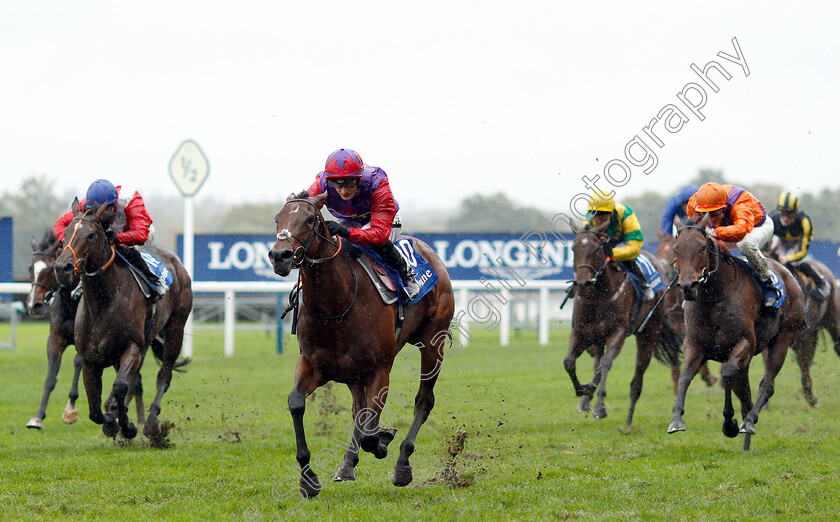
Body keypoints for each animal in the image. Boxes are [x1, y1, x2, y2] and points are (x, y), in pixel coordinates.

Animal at [54, 200, 194, 438]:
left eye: (90, 235)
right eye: (65, 234)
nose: (62, 268)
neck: (103, 303)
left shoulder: (132, 347)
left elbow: (120, 386)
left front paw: (127, 425)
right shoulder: (89, 359)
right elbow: (94, 410)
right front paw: (112, 421)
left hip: (175, 327)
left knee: (164, 375)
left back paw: (151, 423)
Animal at [268, 191, 452, 496]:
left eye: (310, 219)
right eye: (277, 219)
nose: (280, 255)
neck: (336, 305)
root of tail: (430, 251)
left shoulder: (380, 370)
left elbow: (369, 432)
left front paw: (383, 441)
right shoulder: (313, 365)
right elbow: (296, 403)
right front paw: (308, 479)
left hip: (432, 343)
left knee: (423, 401)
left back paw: (402, 464)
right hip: (354, 373)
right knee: (359, 409)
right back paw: (347, 464)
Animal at [564, 221, 684, 424]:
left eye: (596, 248)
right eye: (574, 249)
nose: (582, 284)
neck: (598, 296)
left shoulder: (618, 333)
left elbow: (606, 364)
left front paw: (600, 407)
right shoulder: (581, 332)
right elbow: (569, 362)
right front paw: (584, 391)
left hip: (649, 332)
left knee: (636, 380)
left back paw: (628, 420)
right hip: (598, 339)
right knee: (597, 363)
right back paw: (586, 399)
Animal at [656, 236, 716, 390]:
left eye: (671, 251)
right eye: (659, 250)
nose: (665, 271)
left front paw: (708, 377)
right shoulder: (672, 327)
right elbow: (674, 358)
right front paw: (677, 387)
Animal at [668, 213, 800, 448]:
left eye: (702, 247)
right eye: (676, 249)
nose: (687, 286)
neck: (715, 296)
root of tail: (789, 275)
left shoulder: (744, 344)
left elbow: (727, 374)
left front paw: (729, 423)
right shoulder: (695, 345)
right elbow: (685, 376)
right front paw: (676, 419)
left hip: (783, 338)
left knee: (767, 385)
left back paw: (749, 421)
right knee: (745, 393)